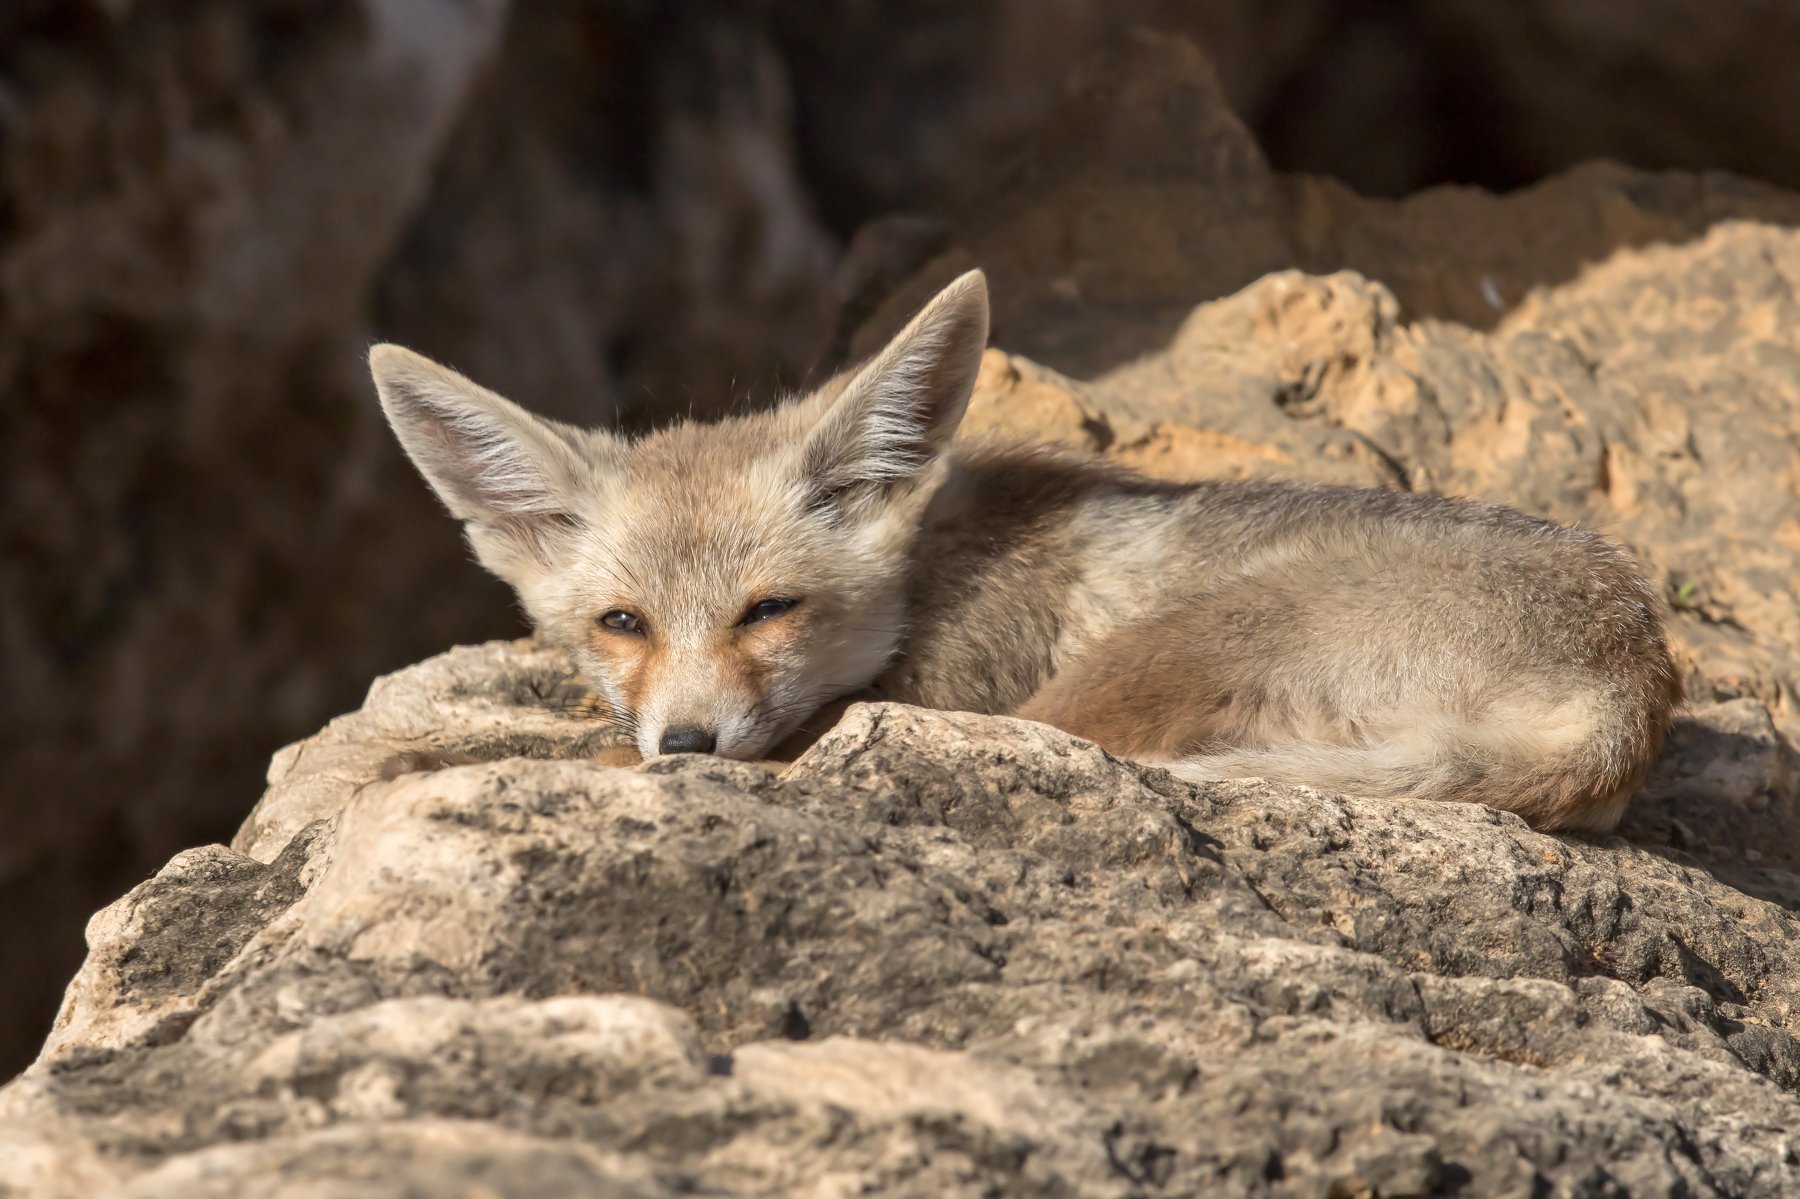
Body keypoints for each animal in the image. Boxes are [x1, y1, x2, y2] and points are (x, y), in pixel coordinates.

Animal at [369, 266, 1684, 828]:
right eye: (622, 623)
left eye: (769, 609)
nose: (686, 744)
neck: (937, 577)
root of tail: (1632, 668)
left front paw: (441, 755)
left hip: (1145, 663)